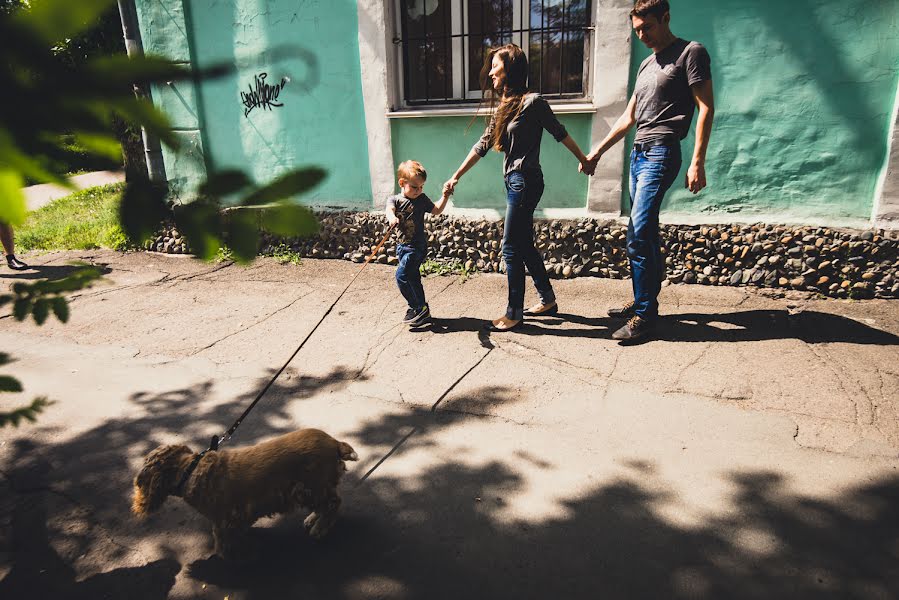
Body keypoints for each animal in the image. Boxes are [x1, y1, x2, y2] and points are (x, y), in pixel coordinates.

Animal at [134, 426, 358, 556]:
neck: (188, 470)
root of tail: (335, 443)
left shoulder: (223, 518)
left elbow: (222, 537)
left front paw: (222, 552)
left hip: (313, 485)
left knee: (333, 504)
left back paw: (319, 529)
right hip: (312, 489)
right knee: (325, 505)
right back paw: (313, 519)